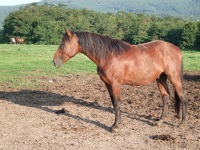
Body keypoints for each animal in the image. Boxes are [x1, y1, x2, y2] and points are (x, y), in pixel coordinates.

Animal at [53, 29, 188, 132]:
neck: (108, 55)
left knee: (182, 97)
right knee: (165, 97)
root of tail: (176, 48)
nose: (54, 62)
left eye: (63, 44)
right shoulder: (108, 84)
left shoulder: (115, 84)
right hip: (161, 78)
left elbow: (117, 103)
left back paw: (182, 122)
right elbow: (114, 103)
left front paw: (115, 126)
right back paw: (161, 120)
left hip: (174, 77)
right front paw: (117, 123)